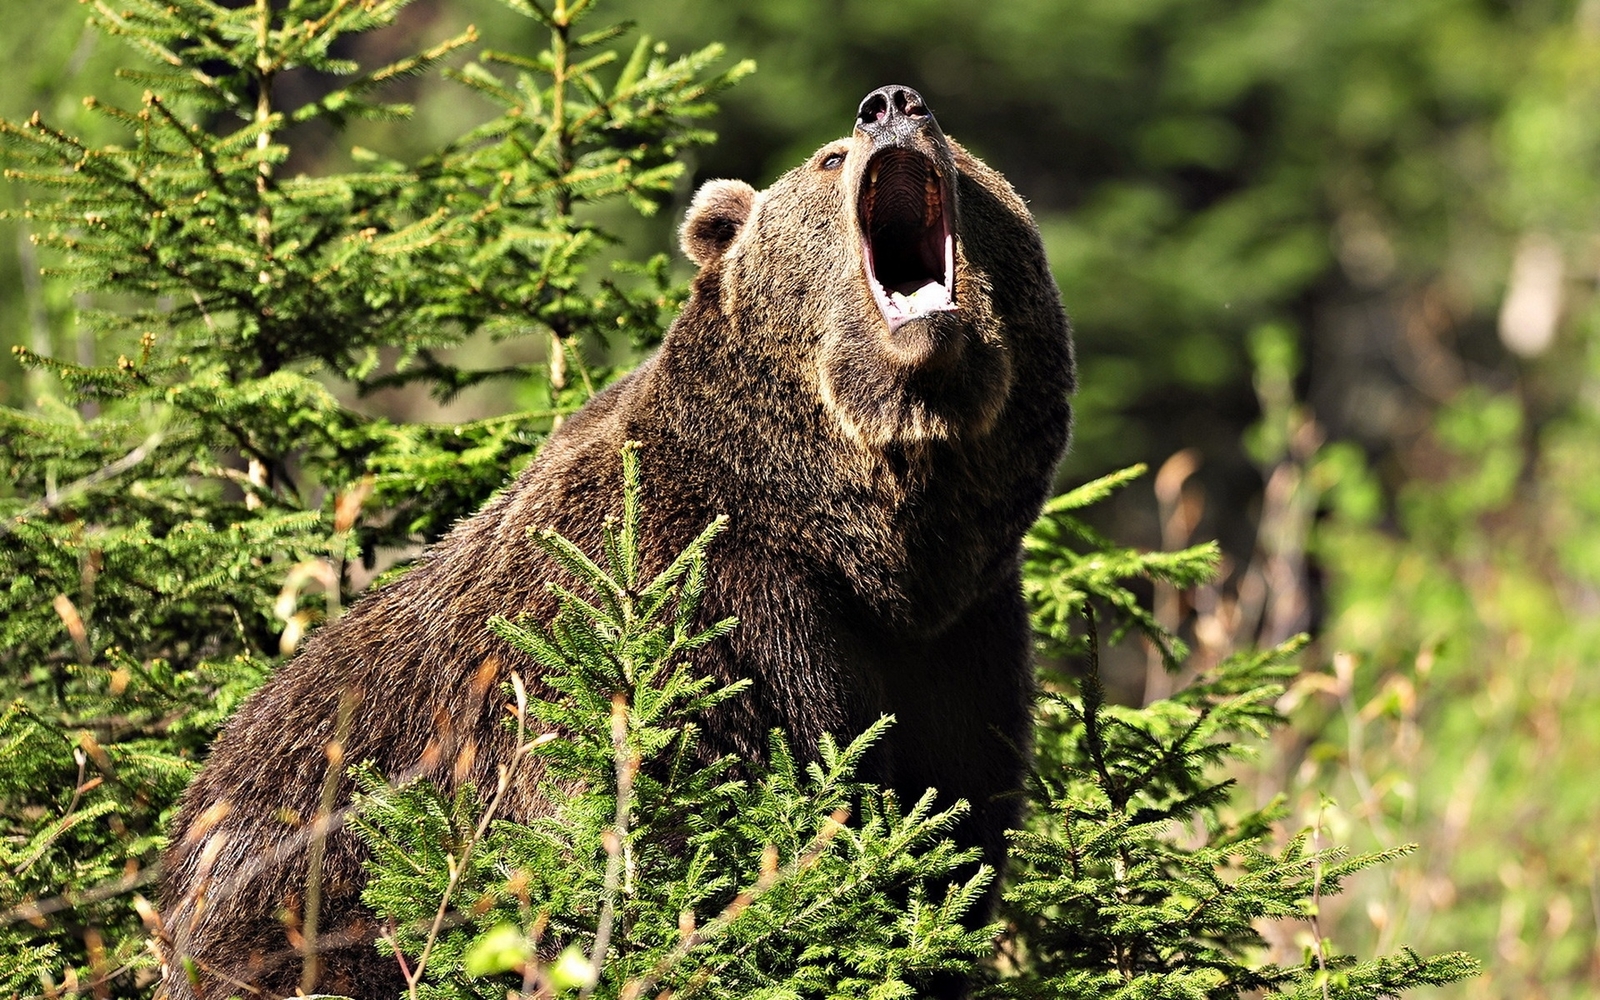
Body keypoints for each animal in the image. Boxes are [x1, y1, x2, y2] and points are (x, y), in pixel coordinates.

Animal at [156, 85, 1075, 998]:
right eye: (827, 159)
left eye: (961, 151)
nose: (891, 104)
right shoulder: (690, 602)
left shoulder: (960, 645)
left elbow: (946, 839)